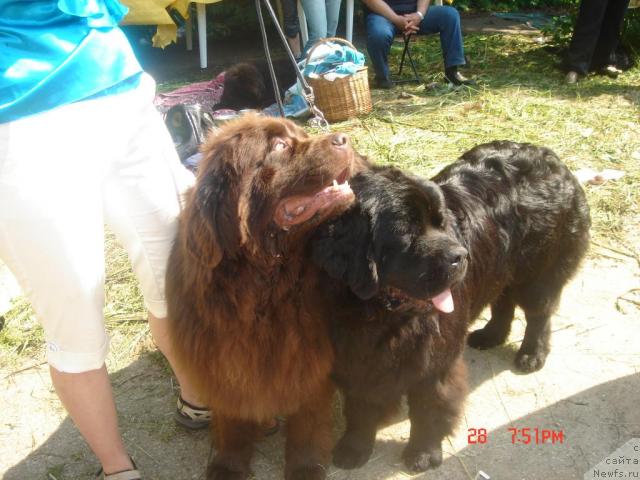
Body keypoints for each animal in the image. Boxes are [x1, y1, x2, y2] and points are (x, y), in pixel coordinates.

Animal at [165, 116, 364, 480]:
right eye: (280, 146)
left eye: (302, 135)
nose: (343, 138)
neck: (264, 287)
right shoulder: (222, 360)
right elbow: (232, 422)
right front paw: (228, 466)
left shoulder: (308, 358)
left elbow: (307, 423)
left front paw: (304, 467)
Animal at [310, 142, 592, 472]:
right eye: (406, 234)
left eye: (441, 223)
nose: (460, 256)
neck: (384, 316)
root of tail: (551, 157)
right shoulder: (357, 358)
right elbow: (360, 408)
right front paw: (354, 449)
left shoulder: (435, 360)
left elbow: (430, 408)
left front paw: (423, 453)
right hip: (500, 267)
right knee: (503, 301)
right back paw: (489, 336)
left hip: (537, 272)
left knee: (539, 313)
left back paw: (531, 354)